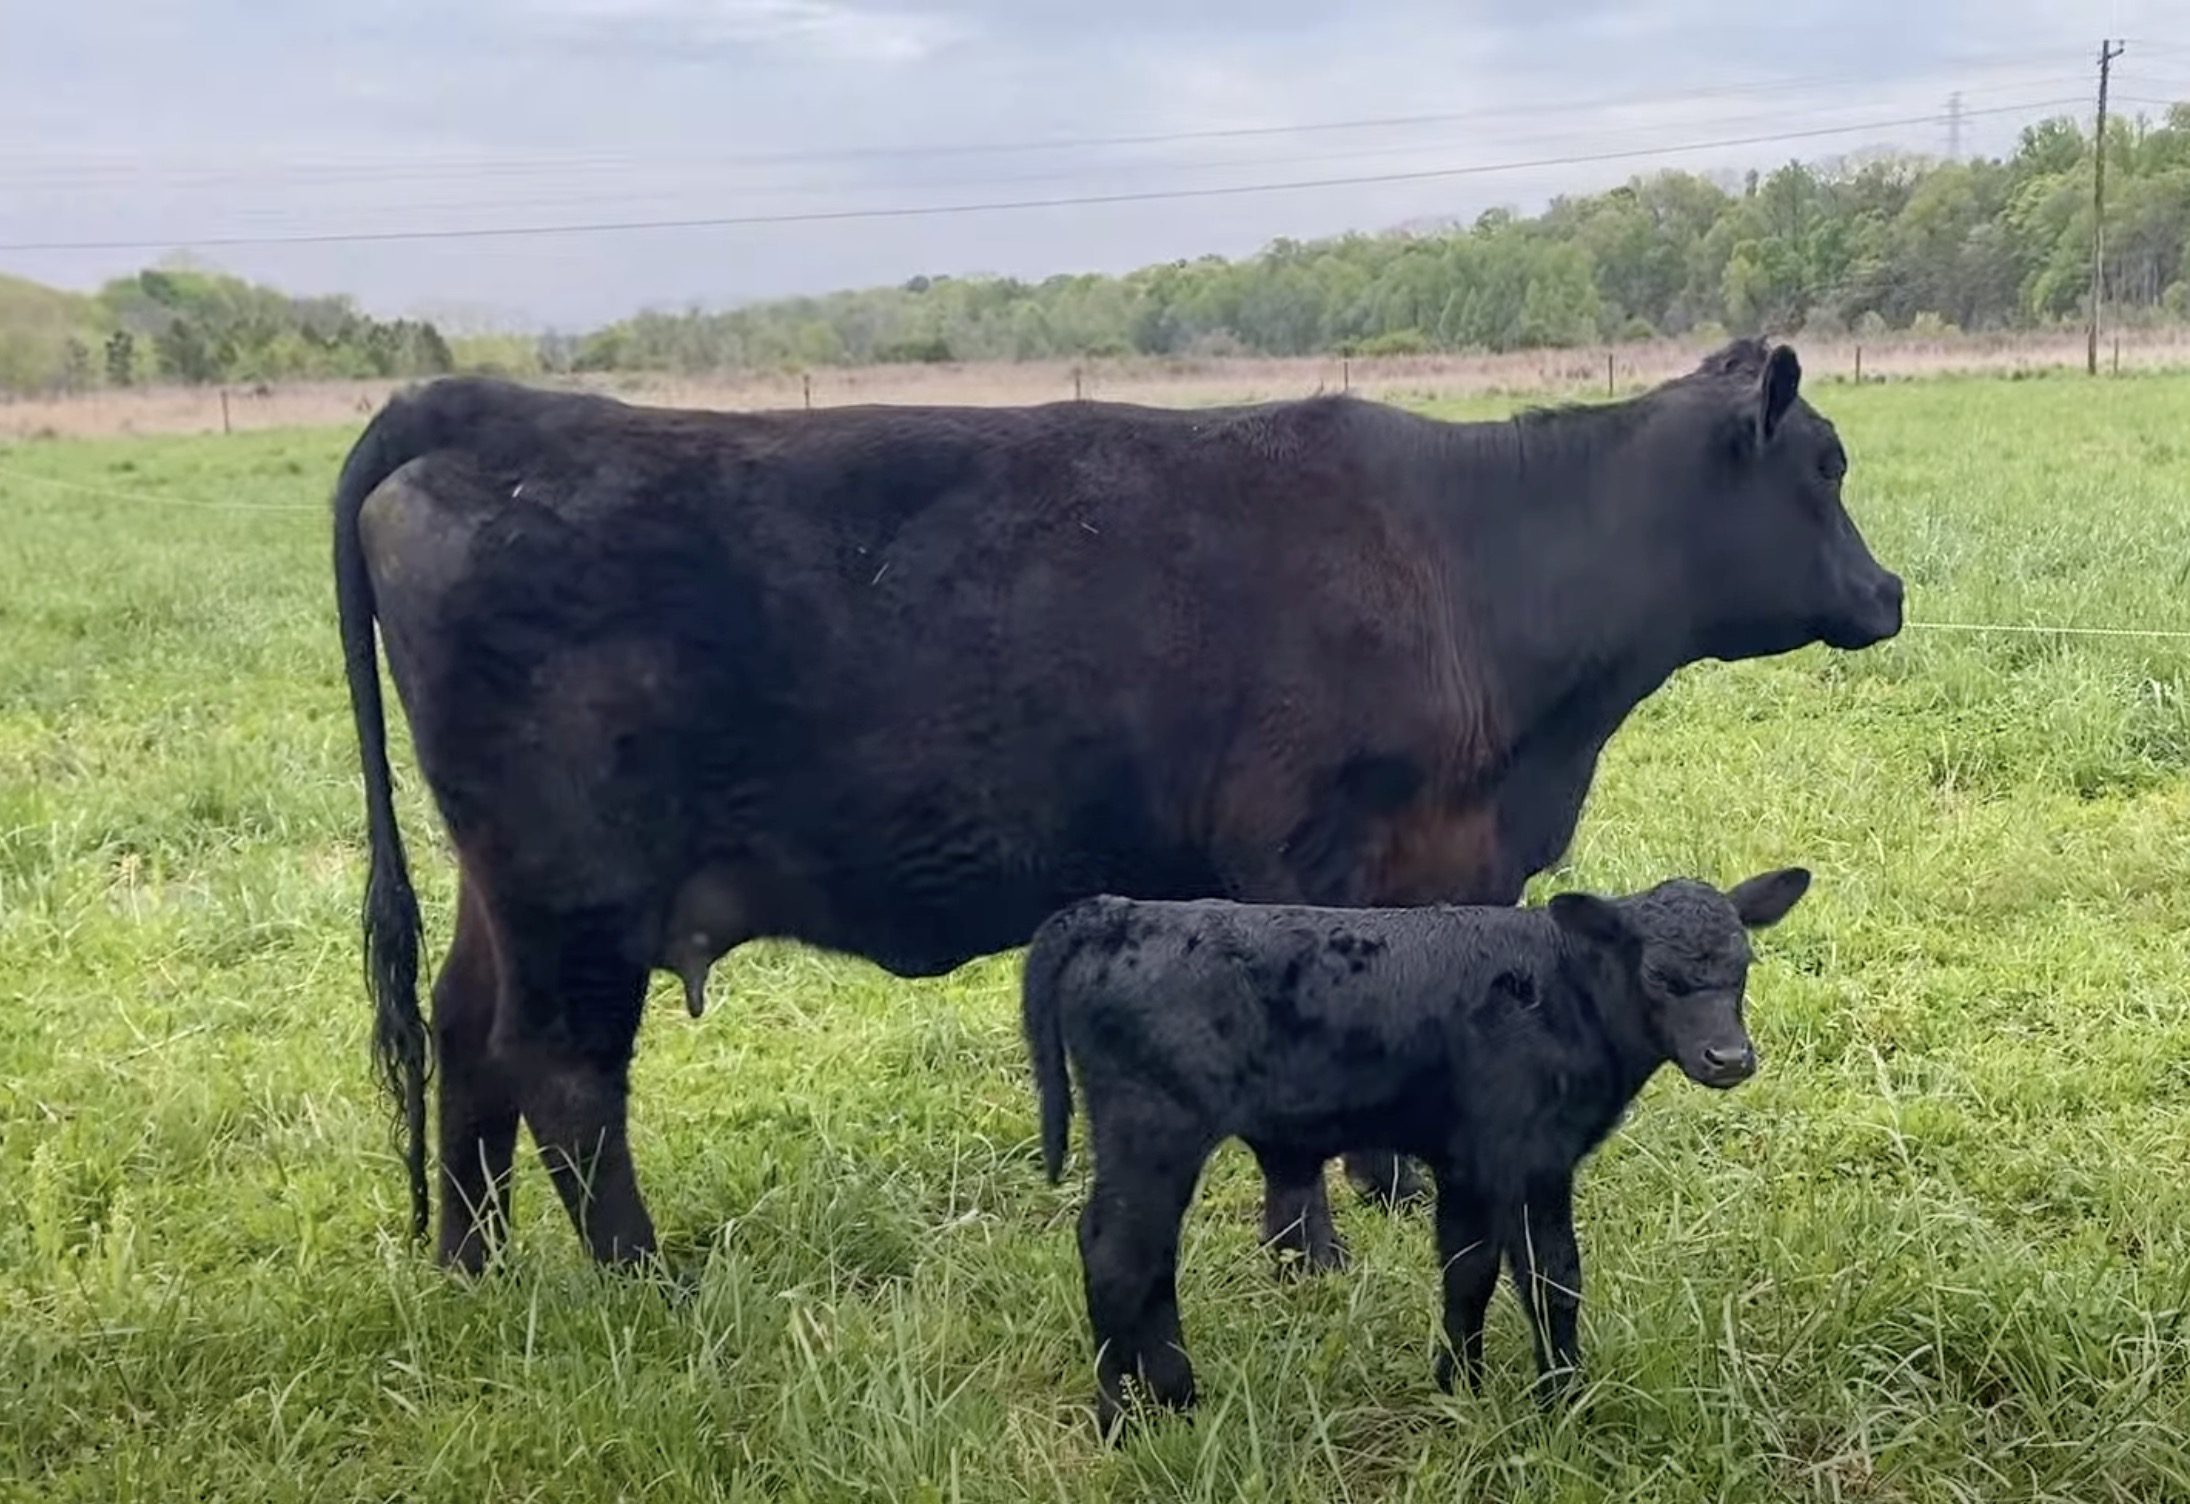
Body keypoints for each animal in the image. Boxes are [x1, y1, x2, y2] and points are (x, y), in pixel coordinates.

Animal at [331, 338, 1900, 1272]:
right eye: (1825, 466)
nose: (1888, 593)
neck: (1474, 566)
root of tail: (489, 410)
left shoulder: (1433, 864)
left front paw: (1394, 1195)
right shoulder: (1294, 853)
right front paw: (1311, 1248)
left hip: (504, 884)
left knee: (467, 1040)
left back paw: (472, 1265)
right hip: (577, 887)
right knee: (562, 1074)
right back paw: (642, 1280)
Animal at [1020, 869, 1812, 1435]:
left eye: (1743, 964)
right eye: (1658, 976)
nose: (1729, 1058)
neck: (1562, 989)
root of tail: (1122, 910)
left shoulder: (1469, 1163)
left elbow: (1468, 1271)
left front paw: (1458, 1385)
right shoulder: (1532, 1159)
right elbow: (1552, 1280)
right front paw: (1563, 1403)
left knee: (1149, 1257)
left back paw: (1177, 1398)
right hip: (1151, 1126)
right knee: (1117, 1253)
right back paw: (1123, 1418)